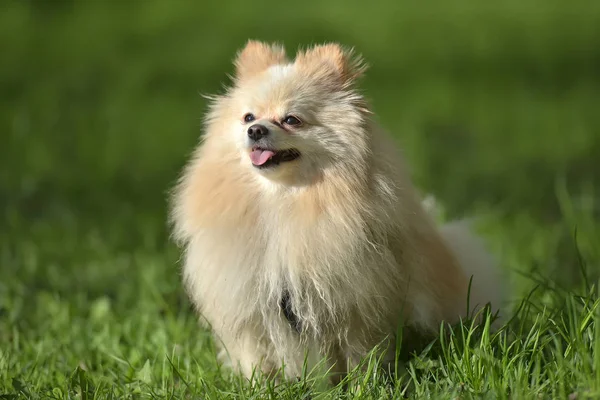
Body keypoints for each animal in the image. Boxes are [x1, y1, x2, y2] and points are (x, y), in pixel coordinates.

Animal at [171, 40, 504, 384]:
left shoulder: (353, 307)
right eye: (248, 116)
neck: (283, 201)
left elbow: (360, 354)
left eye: (292, 119)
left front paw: (361, 385)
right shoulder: (252, 307)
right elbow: (257, 358)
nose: (255, 130)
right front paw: (259, 386)